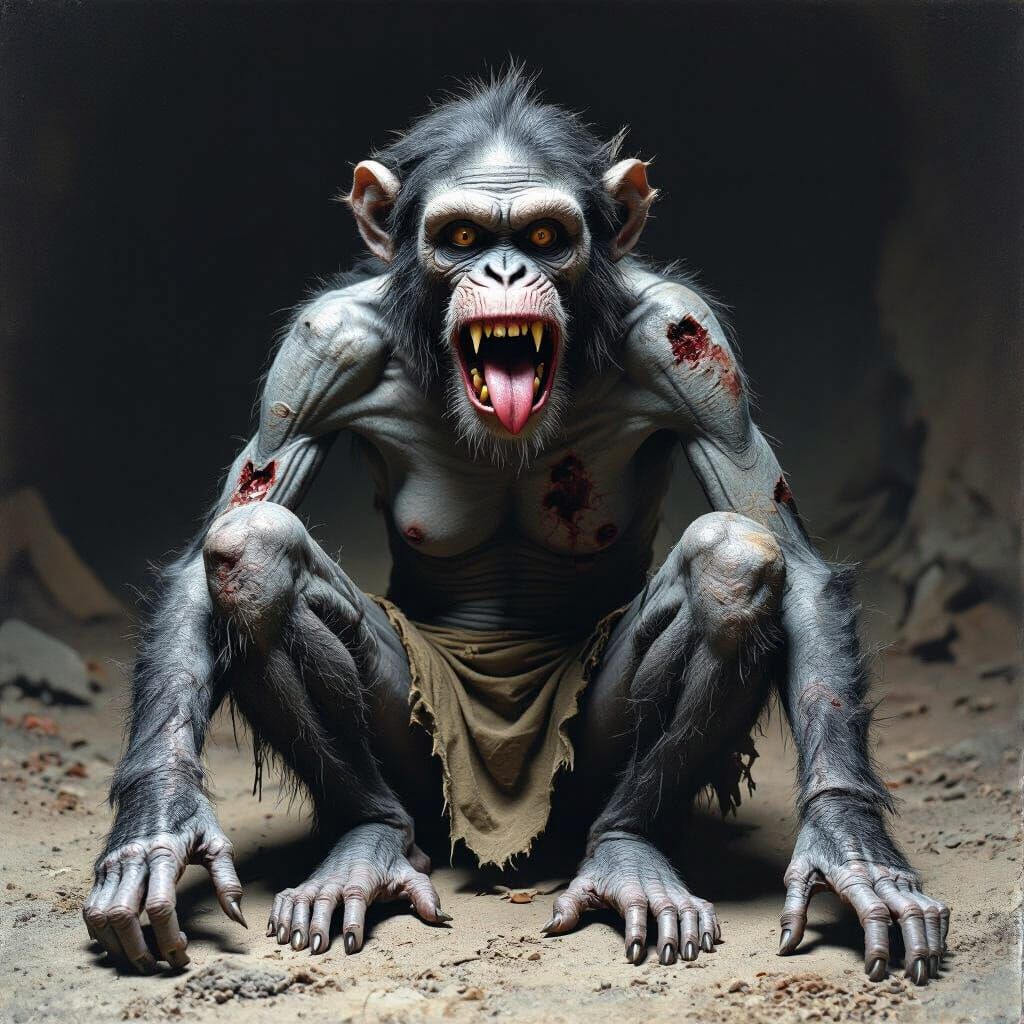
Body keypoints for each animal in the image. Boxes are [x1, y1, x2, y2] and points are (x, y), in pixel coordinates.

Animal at [83, 69, 949, 984]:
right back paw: (368, 844)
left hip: (578, 776)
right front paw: (156, 828)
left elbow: (786, 552)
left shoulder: (689, 345)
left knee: (733, 560)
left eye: (544, 234)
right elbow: (224, 533)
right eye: (462, 236)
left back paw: (628, 853)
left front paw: (852, 848)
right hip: (424, 766)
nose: (503, 268)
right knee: (253, 553)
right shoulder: (318, 350)